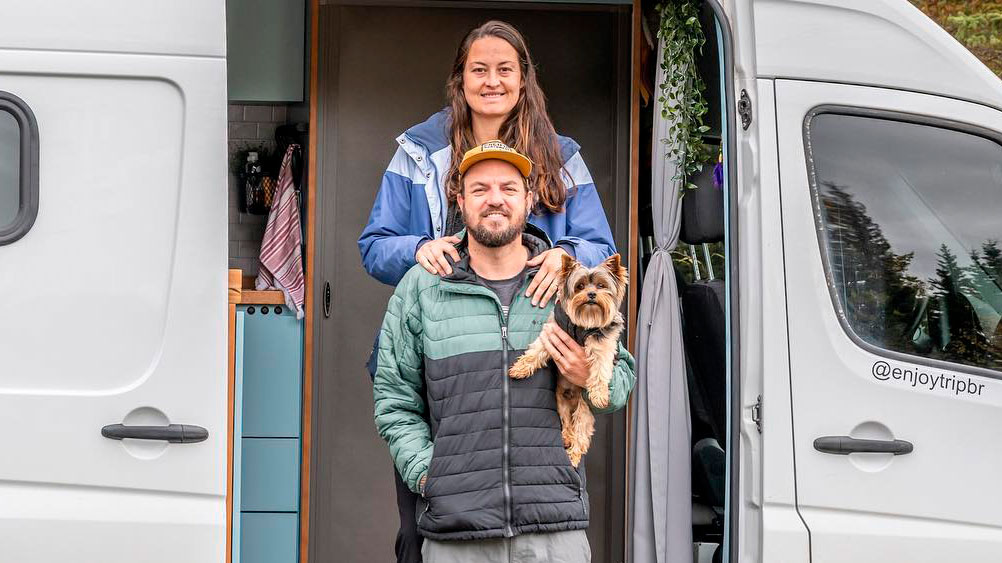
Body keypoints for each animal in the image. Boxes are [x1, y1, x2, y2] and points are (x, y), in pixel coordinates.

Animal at [509, 253, 625, 464]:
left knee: (581, 430)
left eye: (601, 286)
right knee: (566, 421)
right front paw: (520, 368)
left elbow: (600, 369)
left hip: (583, 409)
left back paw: (573, 454)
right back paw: (566, 438)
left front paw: (599, 394)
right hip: (560, 399)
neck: (583, 322)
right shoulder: (553, 330)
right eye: (580, 286)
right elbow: (537, 349)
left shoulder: (603, 344)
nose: (591, 294)